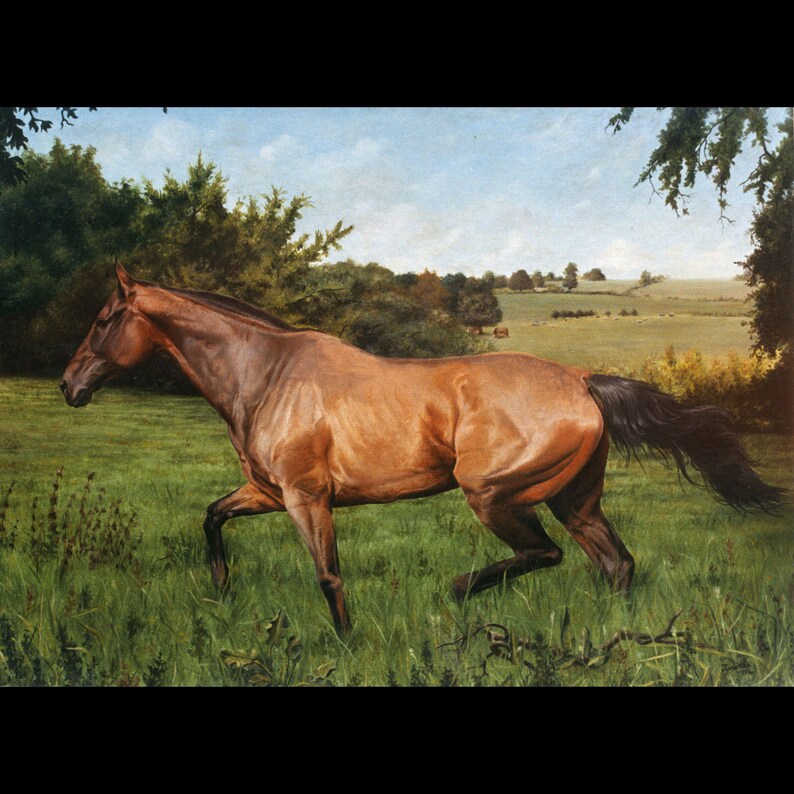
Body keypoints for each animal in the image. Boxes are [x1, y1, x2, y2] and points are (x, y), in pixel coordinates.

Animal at [60, 264, 785, 635]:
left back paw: (461, 591)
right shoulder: (268, 492)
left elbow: (327, 575)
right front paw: (221, 591)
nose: (70, 385)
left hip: (494, 495)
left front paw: (347, 644)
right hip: (575, 502)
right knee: (617, 565)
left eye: (104, 320)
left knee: (545, 555)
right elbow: (211, 517)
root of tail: (581, 381)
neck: (266, 376)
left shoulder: (304, 497)